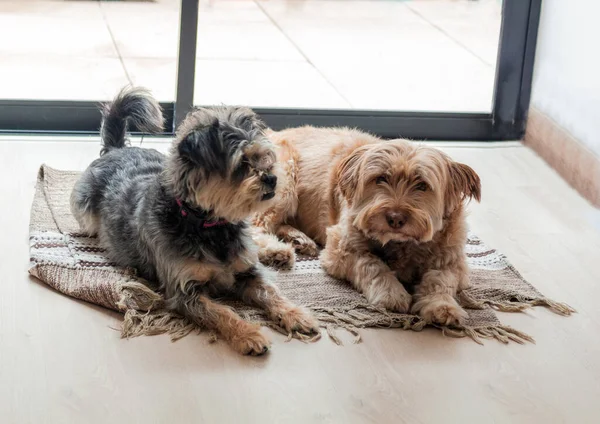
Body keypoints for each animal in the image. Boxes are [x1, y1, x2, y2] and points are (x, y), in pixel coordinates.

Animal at [70, 87, 318, 354]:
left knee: (255, 238)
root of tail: (116, 150)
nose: (272, 178)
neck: (210, 226)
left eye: (264, 157)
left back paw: (279, 251)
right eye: (241, 163)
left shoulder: (248, 271)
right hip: (86, 217)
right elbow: (221, 312)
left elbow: (271, 292)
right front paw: (248, 333)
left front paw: (294, 313)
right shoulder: (185, 291)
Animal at [255, 126, 480, 324]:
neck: (402, 244)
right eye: (381, 178)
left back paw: (298, 239)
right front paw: (391, 292)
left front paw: (442, 306)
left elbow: (440, 280)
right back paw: (277, 250)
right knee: (257, 227)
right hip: (284, 183)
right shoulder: (341, 249)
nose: (395, 218)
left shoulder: (452, 259)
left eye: (422, 185)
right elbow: (373, 264)